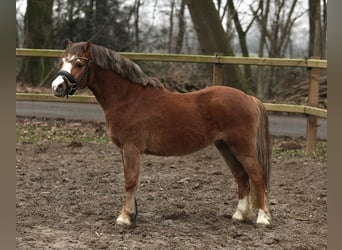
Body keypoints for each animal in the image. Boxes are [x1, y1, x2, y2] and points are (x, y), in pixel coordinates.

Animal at [51, 40, 272, 227]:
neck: (129, 99)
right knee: (241, 177)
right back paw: (239, 215)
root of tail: (249, 98)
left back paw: (263, 218)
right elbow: (130, 181)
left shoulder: (131, 148)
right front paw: (132, 215)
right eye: (62, 61)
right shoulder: (124, 150)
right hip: (225, 146)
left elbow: (130, 182)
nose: (57, 87)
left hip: (242, 147)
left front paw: (124, 218)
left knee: (257, 176)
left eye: (79, 63)